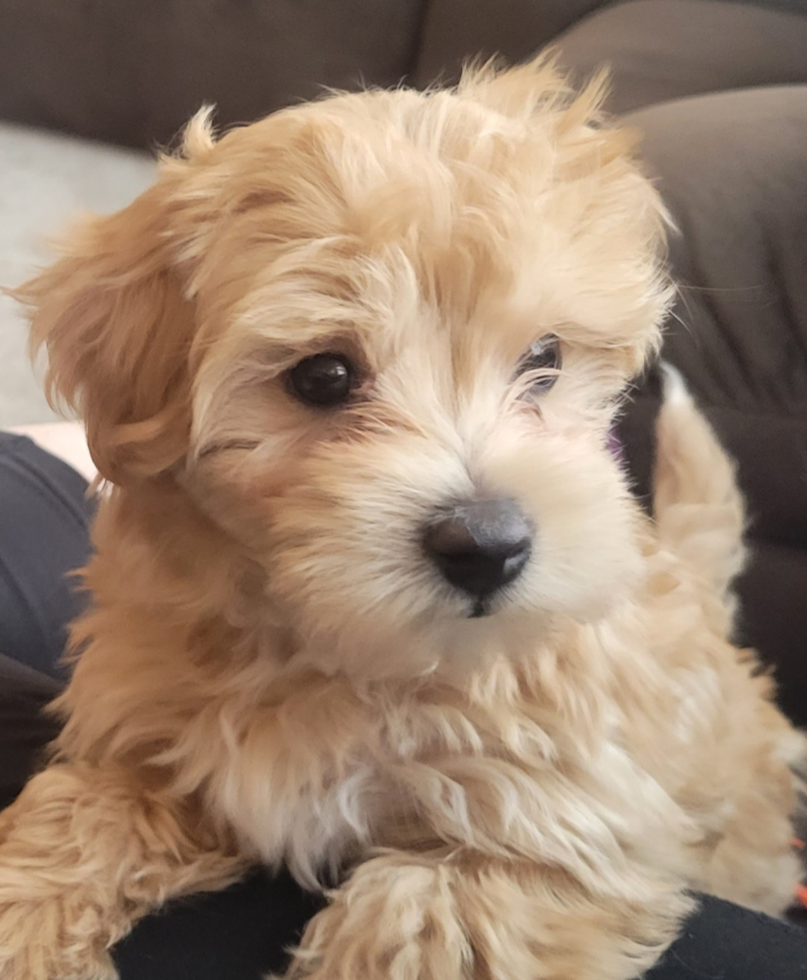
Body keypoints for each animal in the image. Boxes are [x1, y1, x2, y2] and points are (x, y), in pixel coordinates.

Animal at [0, 57, 800, 976]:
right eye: (322, 376)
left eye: (544, 360)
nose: (487, 546)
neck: (343, 650)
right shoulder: (157, 748)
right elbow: (80, 813)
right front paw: (23, 924)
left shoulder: (556, 827)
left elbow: (425, 921)